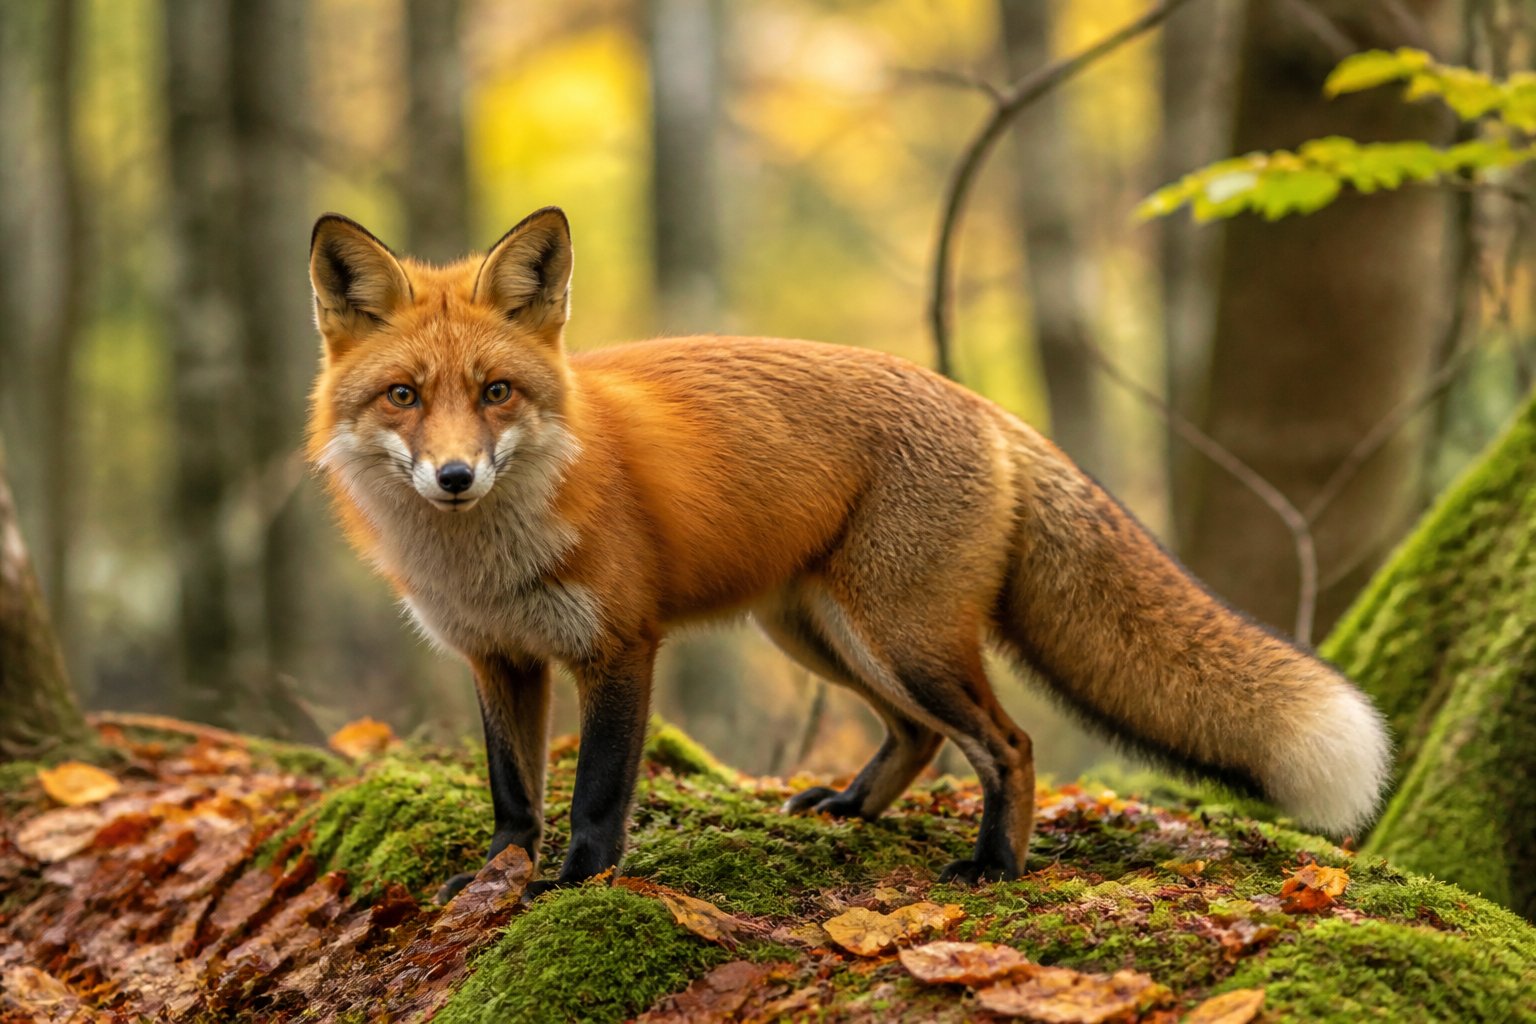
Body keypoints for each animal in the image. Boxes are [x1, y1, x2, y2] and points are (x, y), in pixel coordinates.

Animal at [306, 206, 1391, 901]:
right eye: (404, 396)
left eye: (497, 393)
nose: (454, 477)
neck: (480, 555)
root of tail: (981, 404)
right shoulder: (497, 655)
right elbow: (512, 792)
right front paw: (494, 878)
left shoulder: (619, 646)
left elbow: (599, 793)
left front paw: (574, 887)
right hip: (819, 634)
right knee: (916, 736)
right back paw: (850, 812)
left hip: (903, 638)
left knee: (1008, 743)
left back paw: (996, 868)